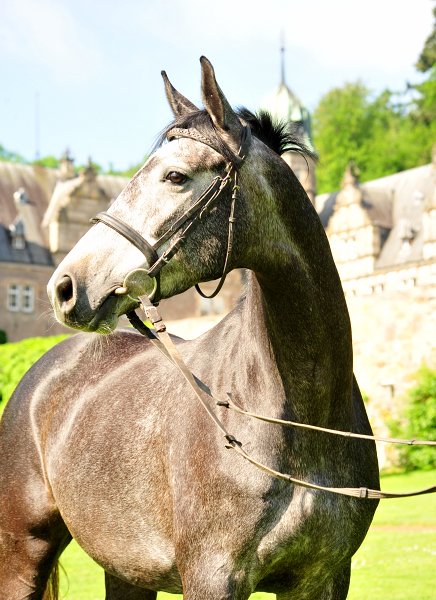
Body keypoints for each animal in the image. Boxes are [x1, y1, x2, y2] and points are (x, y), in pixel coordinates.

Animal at [0, 57, 378, 600]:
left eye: (176, 176)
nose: (65, 286)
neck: (302, 416)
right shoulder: (212, 577)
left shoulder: (324, 578)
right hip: (22, 554)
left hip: (126, 571)